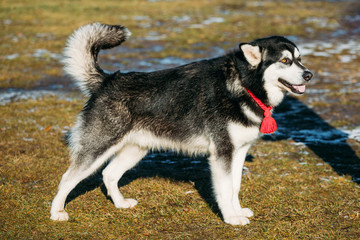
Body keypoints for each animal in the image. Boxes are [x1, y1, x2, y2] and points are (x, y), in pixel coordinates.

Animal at [50, 22, 312, 225]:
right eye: (285, 60)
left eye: (300, 59)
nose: (309, 74)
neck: (243, 86)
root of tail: (107, 81)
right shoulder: (222, 154)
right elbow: (225, 189)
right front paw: (231, 218)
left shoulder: (238, 151)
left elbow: (235, 187)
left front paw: (238, 211)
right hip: (97, 148)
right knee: (67, 178)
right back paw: (57, 212)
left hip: (135, 150)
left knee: (108, 174)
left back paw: (121, 203)